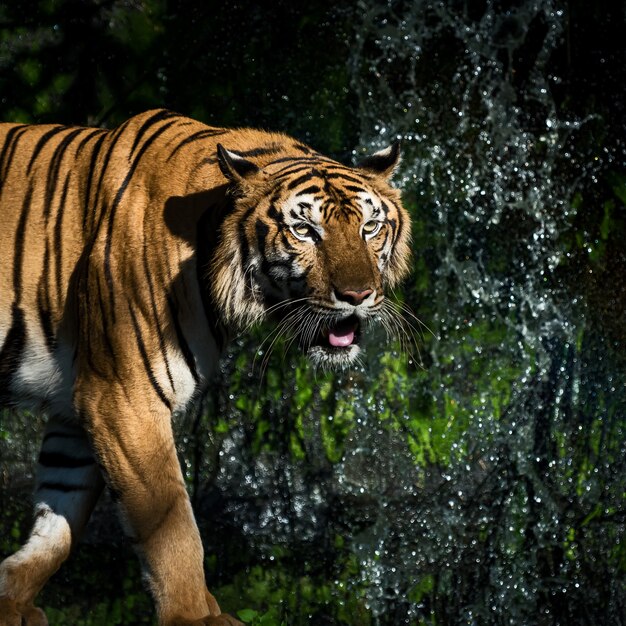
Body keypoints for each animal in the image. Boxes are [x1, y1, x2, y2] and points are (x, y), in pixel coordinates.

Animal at [0, 109, 410, 620]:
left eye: (370, 227)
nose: (358, 295)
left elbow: (59, 519)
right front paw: (194, 614)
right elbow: (173, 529)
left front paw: (10, 595)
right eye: (304, 231)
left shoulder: (78, 403)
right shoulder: (123, 397)